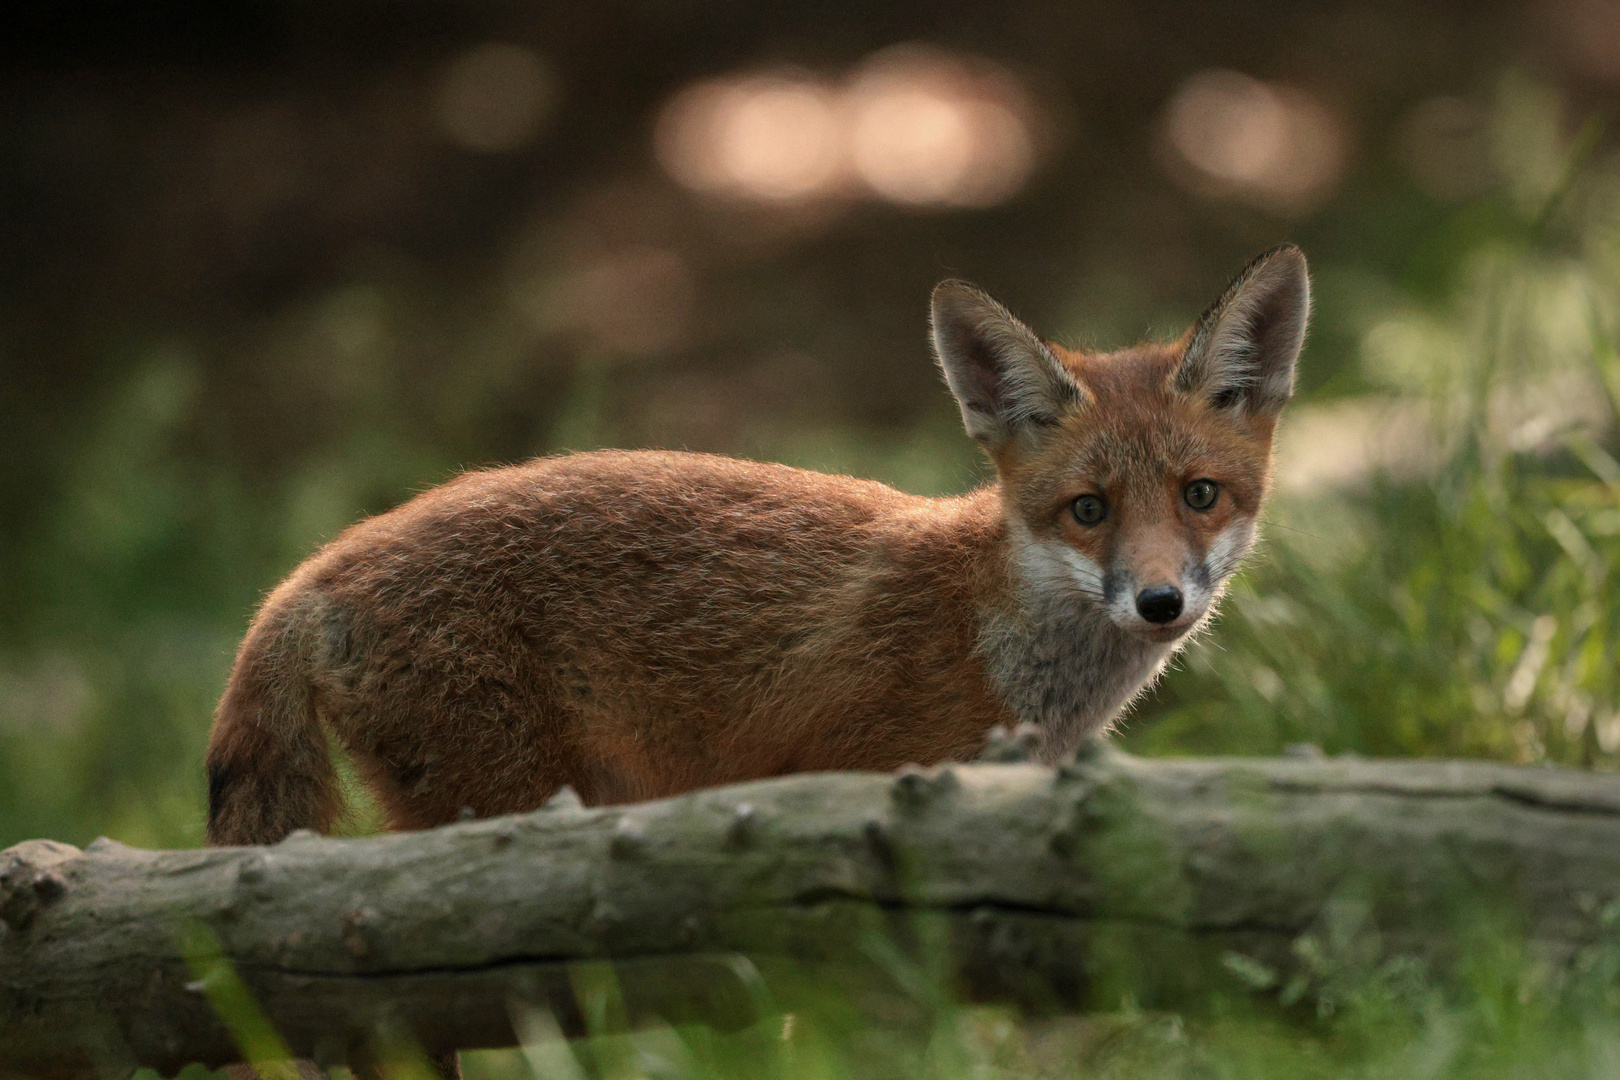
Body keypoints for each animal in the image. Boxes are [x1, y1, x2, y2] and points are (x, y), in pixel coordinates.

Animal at [208, 242, 1308, 841]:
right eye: (1088, 509)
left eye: (1199, 495)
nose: (1161, 602)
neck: (988, 638)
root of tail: (316, 567)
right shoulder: (858, 788)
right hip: (501, 807)